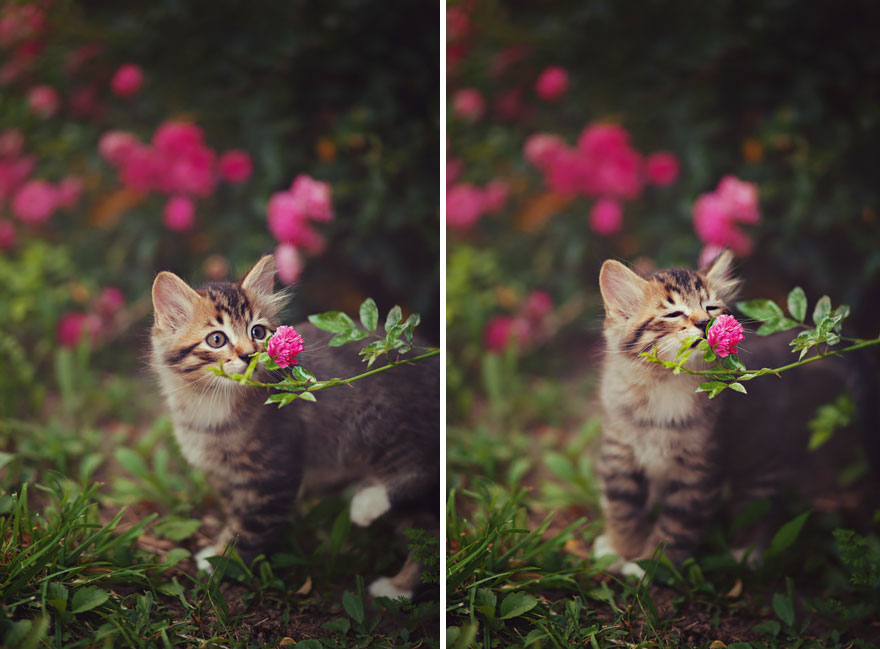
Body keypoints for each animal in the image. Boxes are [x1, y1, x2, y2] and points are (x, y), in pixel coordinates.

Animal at [153, 254, 440, 596]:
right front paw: (218, 549)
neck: (210, 406)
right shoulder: (225, 478)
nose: (249, 355)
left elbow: (250, 530)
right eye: (217, 339)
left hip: (378, 423)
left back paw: (377, 532)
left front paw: (225, 564)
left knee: (421, 474)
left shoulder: (273, 476)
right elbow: (235, 517)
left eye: (258, 332)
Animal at [596, 251, 876, 568]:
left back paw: (745, 550)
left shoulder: (700, 467)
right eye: (673, 314)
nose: (705, 323)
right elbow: (622, 507)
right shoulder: (619, 453)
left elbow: (678, 524)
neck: (667, 382)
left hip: (758, 454)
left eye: (711, 308)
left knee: (760, 501)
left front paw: (652, 564)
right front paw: (621, 550)